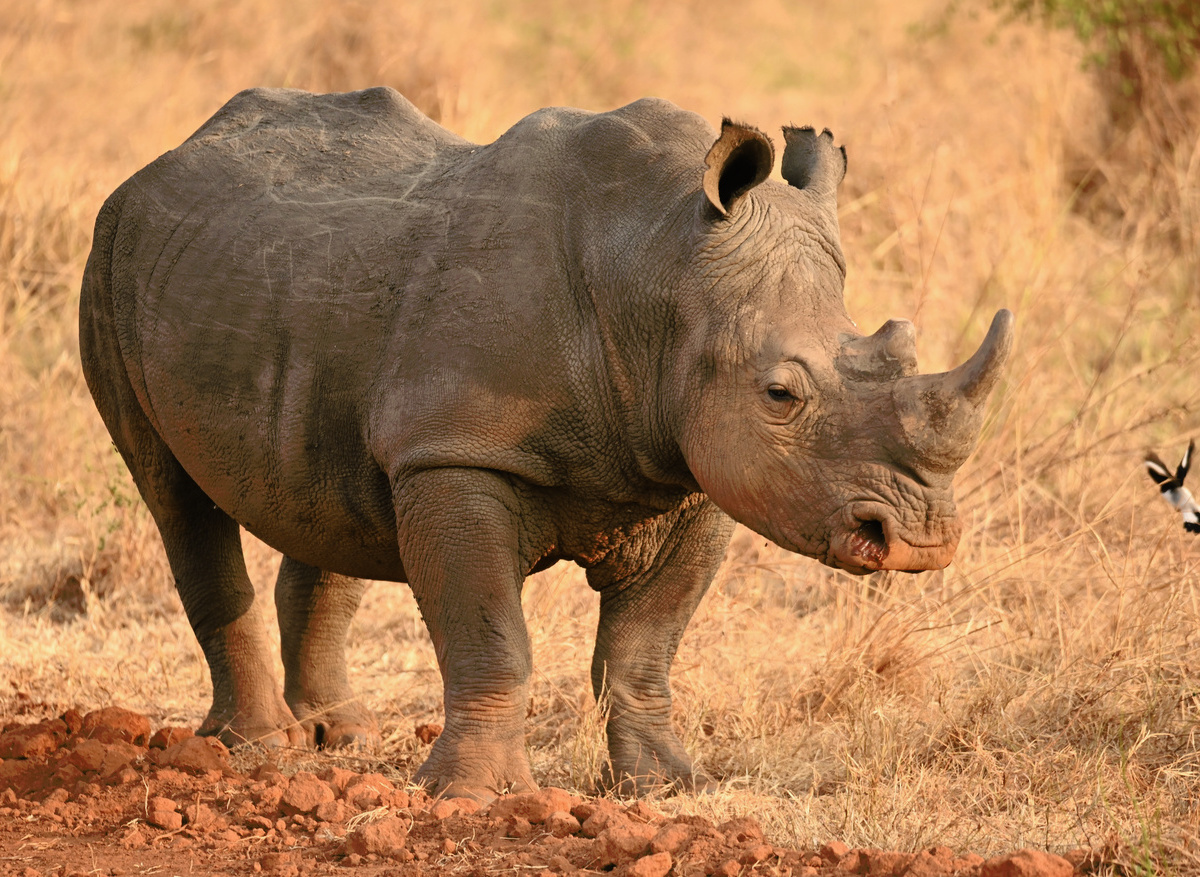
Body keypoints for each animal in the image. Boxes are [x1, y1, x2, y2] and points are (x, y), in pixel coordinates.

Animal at [79, 87, 1012, 800]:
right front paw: (472, 795)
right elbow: (495, 638)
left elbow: (644, 650)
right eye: (781, 394)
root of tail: (161, 160)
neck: (660, 266)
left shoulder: (696, 469)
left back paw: (339, 736)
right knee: (175, 498)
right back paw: (257, 747)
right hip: (111, 251)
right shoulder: (459, 449)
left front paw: (668, 786)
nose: (921, 539)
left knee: (327, 489)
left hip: (285, 287)